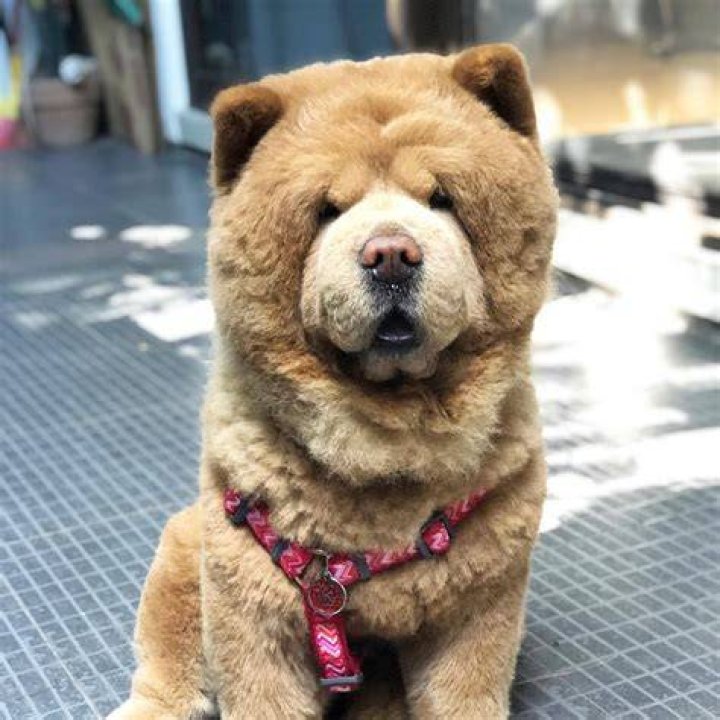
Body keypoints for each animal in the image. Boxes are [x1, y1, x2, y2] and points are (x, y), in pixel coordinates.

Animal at [110, 43, 557, 719]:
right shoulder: (253, 611)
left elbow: (462, 691)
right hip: (187, 547)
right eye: (327, 210)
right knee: (168, 656)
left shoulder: (481, 600)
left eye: (441, 199)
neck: (387, 447)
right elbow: (258, 693)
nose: (391, 253)